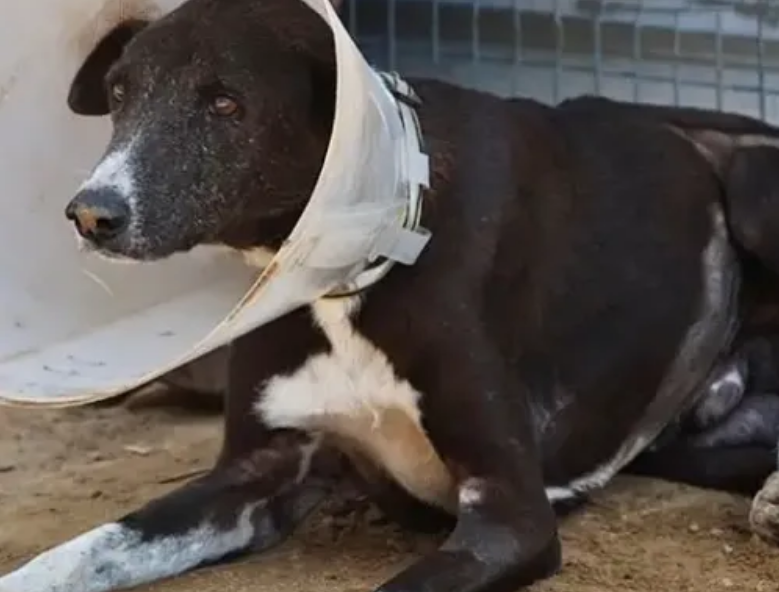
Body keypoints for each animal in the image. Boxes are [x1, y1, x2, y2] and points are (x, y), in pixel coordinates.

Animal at [5, 0, 779, 590]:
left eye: (226, 103)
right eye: (118, 96)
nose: (91, 213)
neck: (349, 277)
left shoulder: (509, 511)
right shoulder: (250, 478)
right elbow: (84, 550)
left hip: (749, 190)